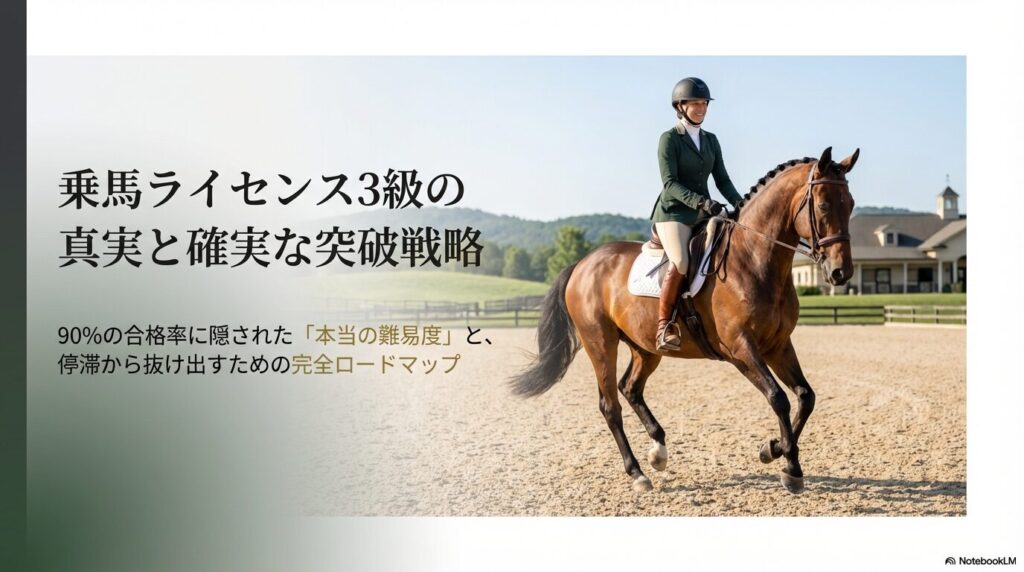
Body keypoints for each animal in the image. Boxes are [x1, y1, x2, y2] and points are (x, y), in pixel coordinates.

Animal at [510, 146, 859, 494]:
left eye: (851, 204)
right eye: (824, 205)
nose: (841, 273)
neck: (754, 259)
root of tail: (582, 264)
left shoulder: (778, 344)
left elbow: (805, 396)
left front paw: (774, 451)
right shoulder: (740, 348)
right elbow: (779, 398)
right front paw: (788, 464)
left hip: (645, 347)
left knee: (630, 387)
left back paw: (658, 451)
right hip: (600, 343)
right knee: (610, 405)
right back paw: (637, 473)